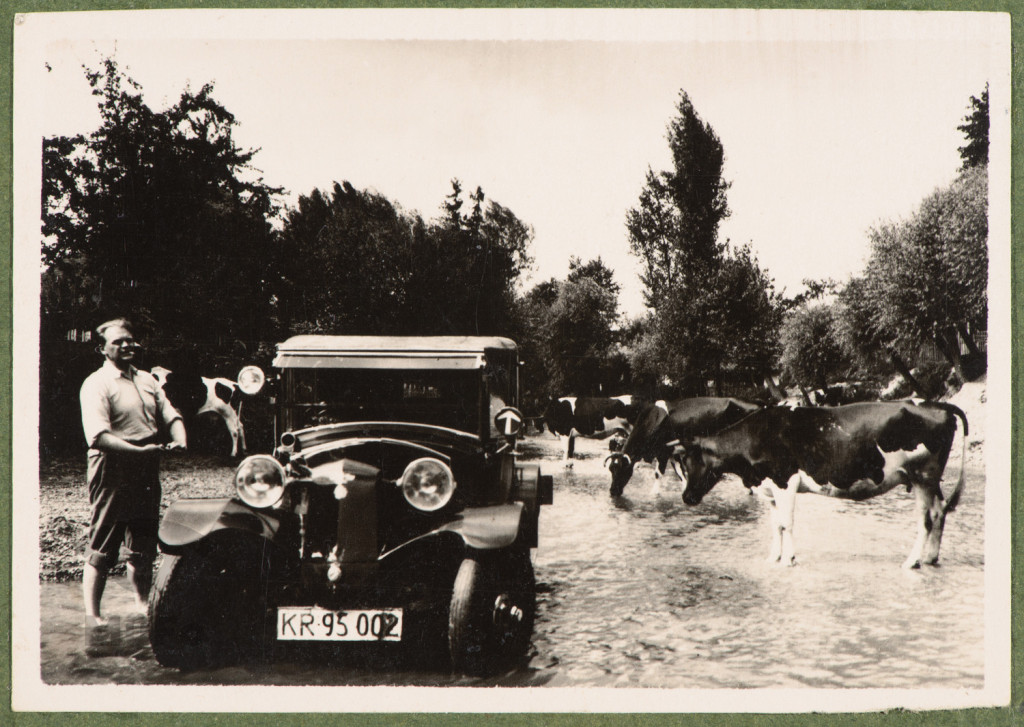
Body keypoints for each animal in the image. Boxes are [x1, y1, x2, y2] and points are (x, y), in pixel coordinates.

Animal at [602, 395, 765, 497]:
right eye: (610, 469)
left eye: (621, 469)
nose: (612, 491)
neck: (653, 420)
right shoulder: (673, 452)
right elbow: (681, 474)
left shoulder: (663, 451)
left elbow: (658, 473)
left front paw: (654, 494)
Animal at [679, 401, 966, 573]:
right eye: (681, 463)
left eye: (691, 461)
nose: (686, 496)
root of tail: (935, 405)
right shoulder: (769, 487)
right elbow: (775, 525)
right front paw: (773, 557)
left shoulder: (785, 481)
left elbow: (787, 523)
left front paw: (789, 559)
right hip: (929, 479)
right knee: (940, 511)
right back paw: (930, 557)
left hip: (923, 476)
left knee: (926, 519)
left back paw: (912, 561)